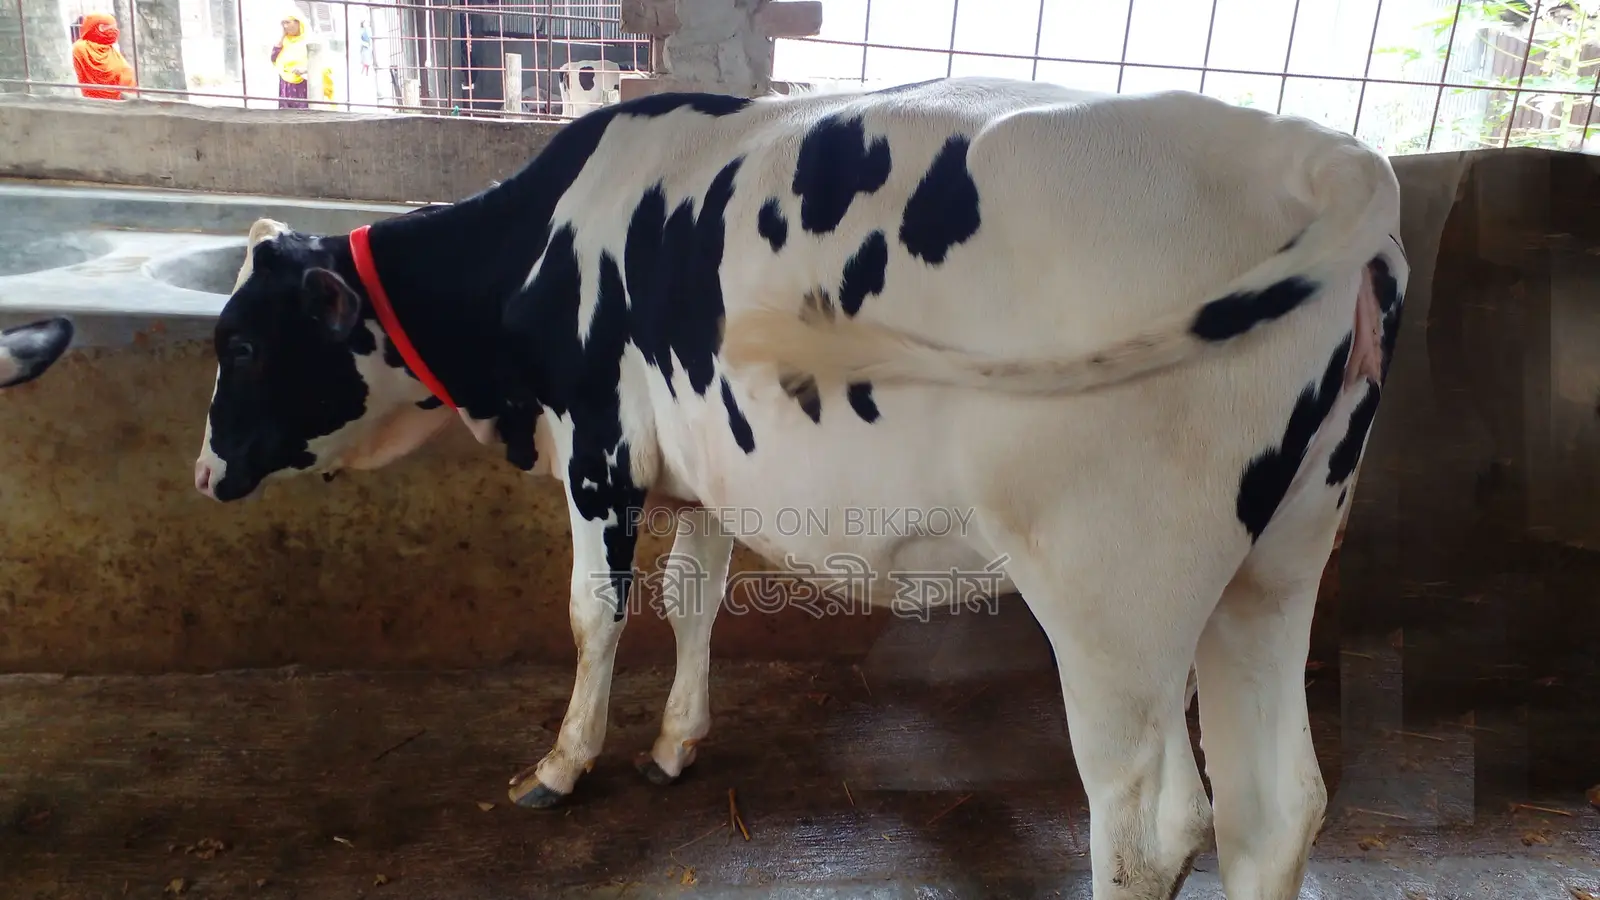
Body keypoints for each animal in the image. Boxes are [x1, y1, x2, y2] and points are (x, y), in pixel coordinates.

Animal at [191, 77, 1407, 900]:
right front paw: (676, 744)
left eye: (240, 342)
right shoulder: (706, 472)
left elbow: (594, 614)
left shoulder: (598, 449)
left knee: (1149, 826)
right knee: (1272, 806)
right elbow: (692, 601)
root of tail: (1315, 156)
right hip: (1278, 559)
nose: (204, 473)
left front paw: (563, 763)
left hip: (1115, 585)